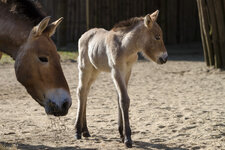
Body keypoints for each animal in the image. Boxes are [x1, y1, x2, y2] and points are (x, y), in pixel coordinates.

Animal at [74, 10, 168, 148]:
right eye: (157, 37)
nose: (165, 58)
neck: (125, 47)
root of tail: (84, 35)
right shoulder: (116, 71)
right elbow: (124, 99)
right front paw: (128, 138)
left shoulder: (127, 71)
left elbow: (120, 99)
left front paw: (121, 135)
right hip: (85, 68)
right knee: (81, 92)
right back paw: (77, 131)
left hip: (95, 71)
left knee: (86, 93)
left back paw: (85, 130)